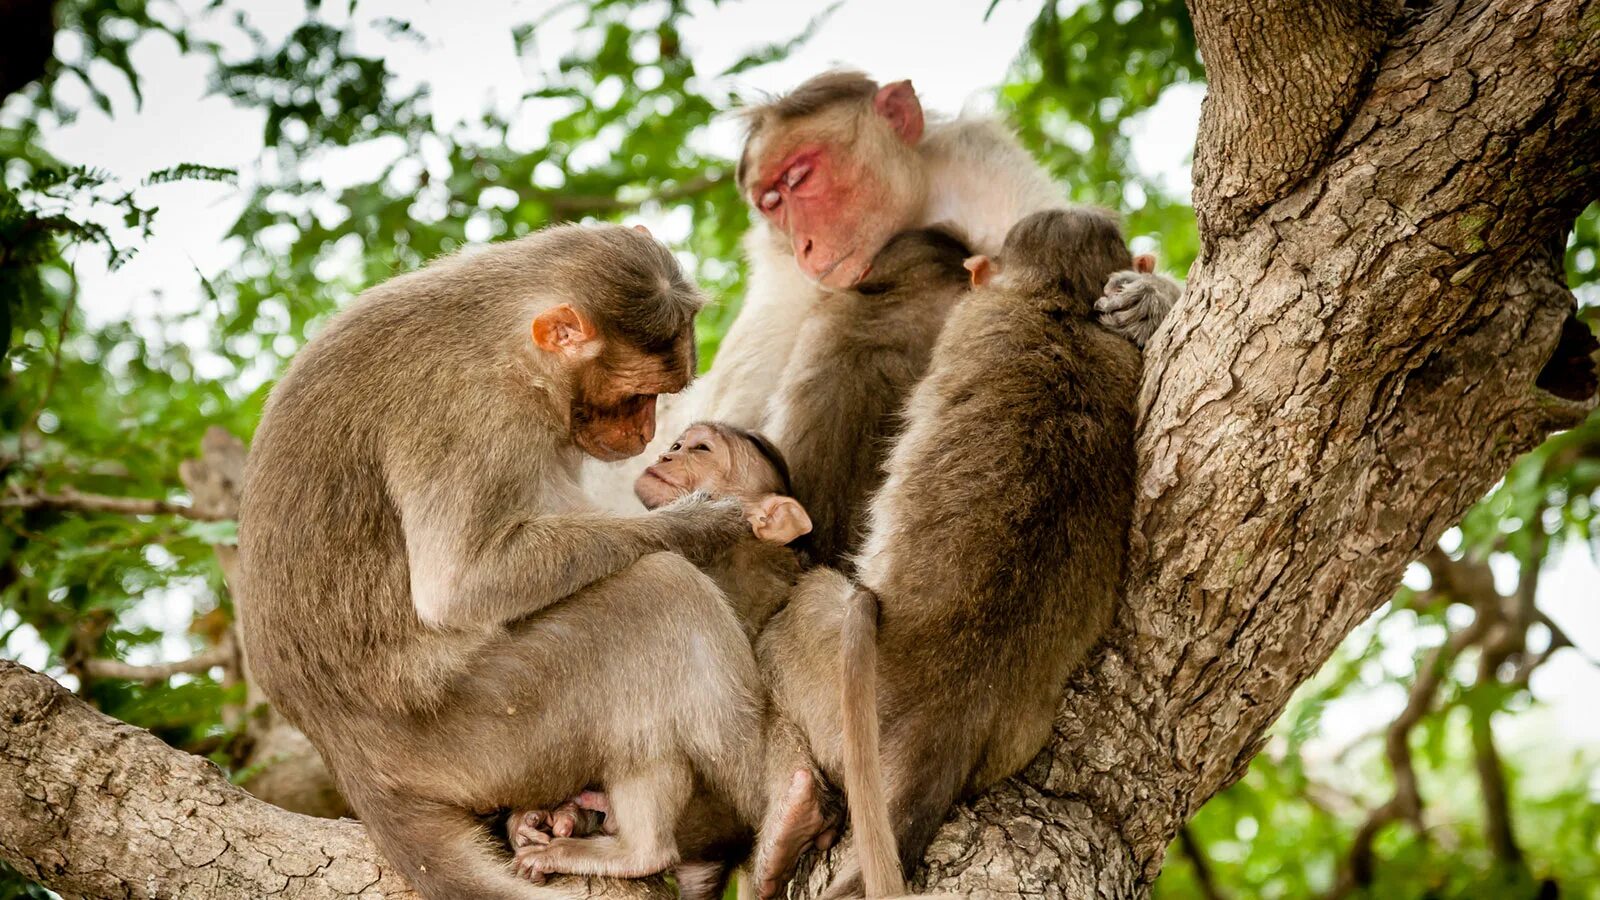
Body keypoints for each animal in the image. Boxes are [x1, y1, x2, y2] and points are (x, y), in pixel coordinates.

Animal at [240, 222, 784, 896]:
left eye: (661, 394)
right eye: (636, 394)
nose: (647, 435)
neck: (504, 333)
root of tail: (349, 757)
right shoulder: (468, 411)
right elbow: (460, 584)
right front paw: (697, 524)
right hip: (487, 731)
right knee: (660, 592)